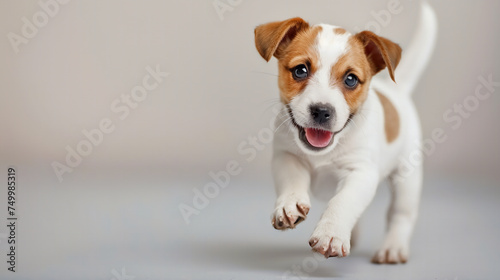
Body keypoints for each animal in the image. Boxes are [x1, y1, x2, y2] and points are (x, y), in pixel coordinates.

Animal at [254, 3, 438, 264]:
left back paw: (393, 247)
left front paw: (331, 233)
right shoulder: (287, 157)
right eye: (300, 71)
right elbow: (292, 180)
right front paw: (289, 205)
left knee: (400, 215)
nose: (322, 111)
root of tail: (398, 89)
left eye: (350, 79)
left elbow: (343, 201)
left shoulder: (361, 173)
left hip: (407, 179)